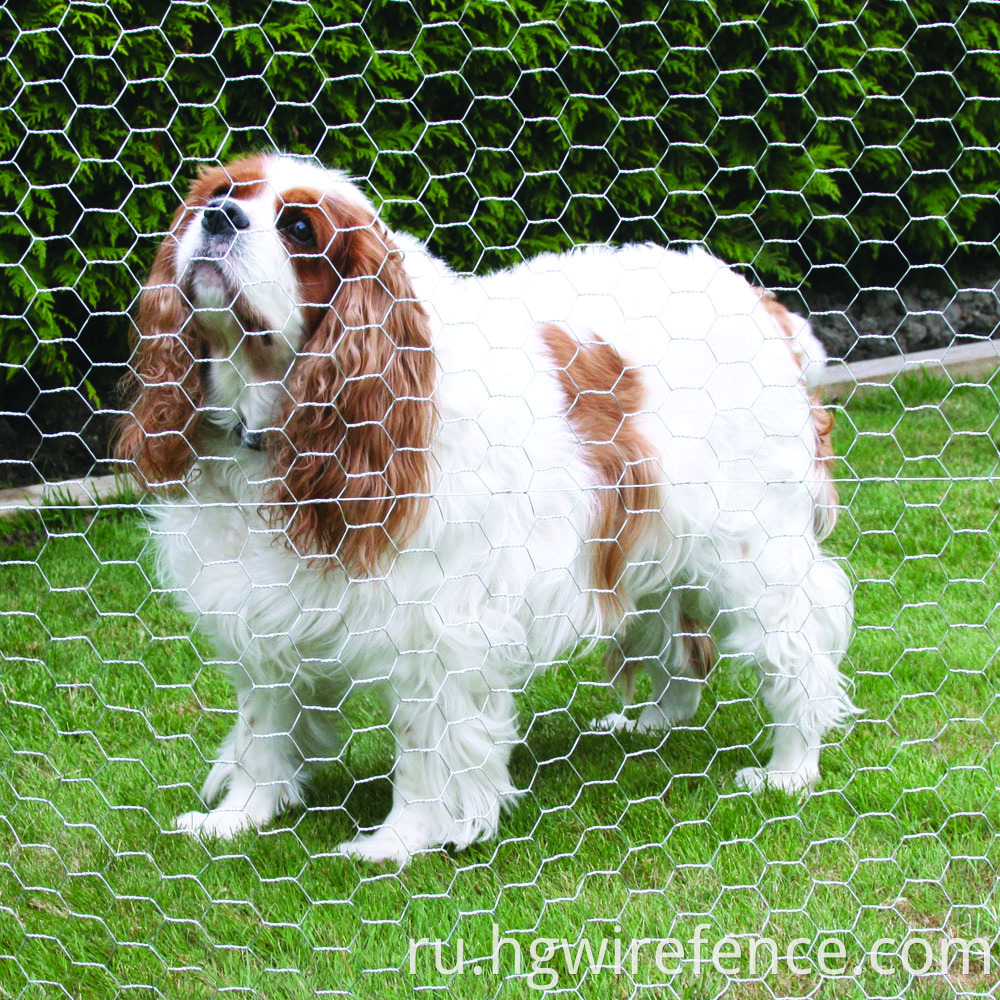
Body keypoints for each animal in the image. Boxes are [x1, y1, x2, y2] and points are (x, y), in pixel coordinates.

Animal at [113, 152, 856, 864]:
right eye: (219, 194)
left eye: (299, 228)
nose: (221, 219)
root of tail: (764, 304)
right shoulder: (260, 614)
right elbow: (263, 730)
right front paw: (238, 817)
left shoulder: (435, 632)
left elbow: (424, 751)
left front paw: (399, 840)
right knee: (679, 644)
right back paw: (656, 721)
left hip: (755, 558)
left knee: (801, 650)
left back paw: (790, 768)